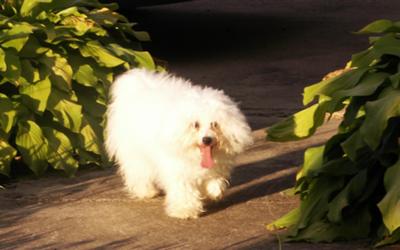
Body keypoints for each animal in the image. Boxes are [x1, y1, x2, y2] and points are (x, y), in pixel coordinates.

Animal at [104, 68, 252, 219]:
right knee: (138, 172)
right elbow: (184, 190)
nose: (207, 139)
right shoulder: (178, 169)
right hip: (135, 153)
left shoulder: (216, 167)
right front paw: (185, 210)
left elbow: (214, 182)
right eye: (195, 125)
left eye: (214, 124)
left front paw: (211, 192)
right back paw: (146, 192)